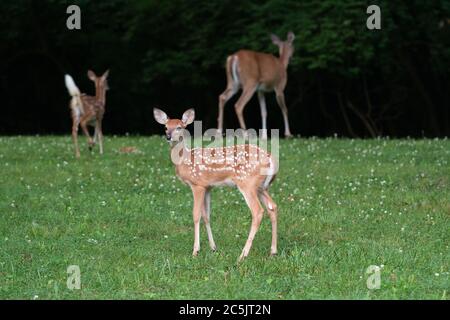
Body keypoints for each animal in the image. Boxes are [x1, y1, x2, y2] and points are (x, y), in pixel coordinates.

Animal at [156, 108, 282, 262]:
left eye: (179, 127)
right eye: (165, 127)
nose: (168, 136)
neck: (185, 159)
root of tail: (271, 159)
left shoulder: (197, 184)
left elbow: (196, 215)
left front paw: (195, 251)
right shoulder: (208, 187)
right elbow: (206, 216)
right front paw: (213, 247)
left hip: (247, 183)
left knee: (258, 211)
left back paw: (242, 255)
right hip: (261, 187)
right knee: (272, 207)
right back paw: (273, 251)